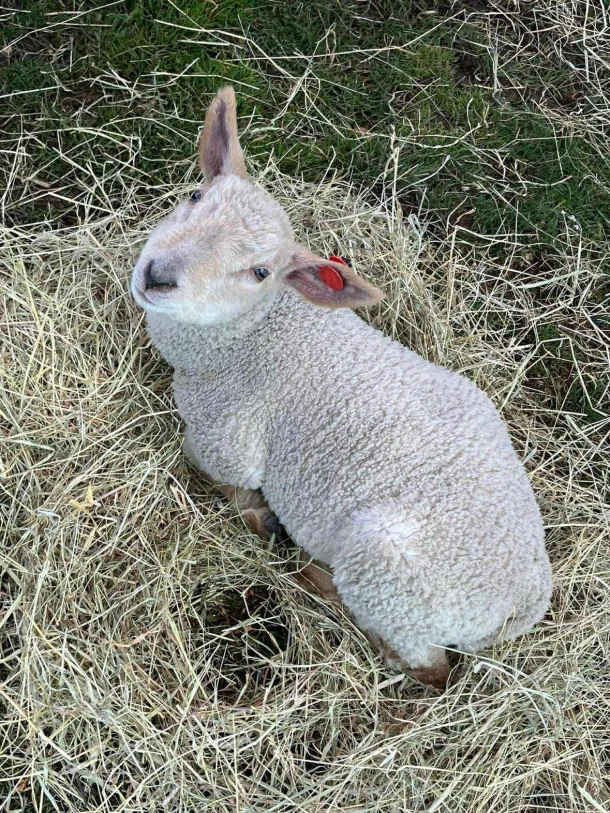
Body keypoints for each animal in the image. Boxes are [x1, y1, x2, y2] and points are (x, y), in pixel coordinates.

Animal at [131, 86, 552, 689]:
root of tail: (523, 605)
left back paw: (314, 578)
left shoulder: (225, 439)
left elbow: (212, 468)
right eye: (194, 195)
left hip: (388, 578)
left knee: (427, 667)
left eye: (260, 272)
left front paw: (260, 515)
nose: (158, 275)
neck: (250, 335)